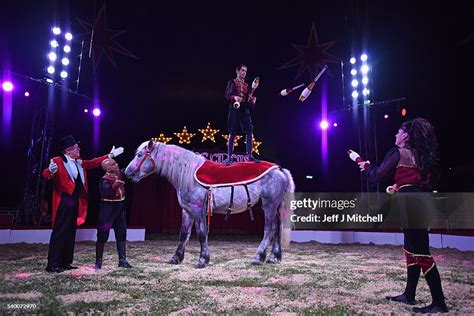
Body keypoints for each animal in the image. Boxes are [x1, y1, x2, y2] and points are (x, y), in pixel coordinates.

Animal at [124, 142, 294, 268]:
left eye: (139, 155)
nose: (126, 172)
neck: (188, 173)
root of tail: (279, 169)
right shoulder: (186, 210)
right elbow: (183, 234)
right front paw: (176, 258)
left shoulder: (198, 209)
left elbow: (201, 233)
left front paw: (202, 260)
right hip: (274, 206)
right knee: (277, 228)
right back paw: (273, 257)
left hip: (269, 205)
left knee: (269, 230)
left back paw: (258, 257)